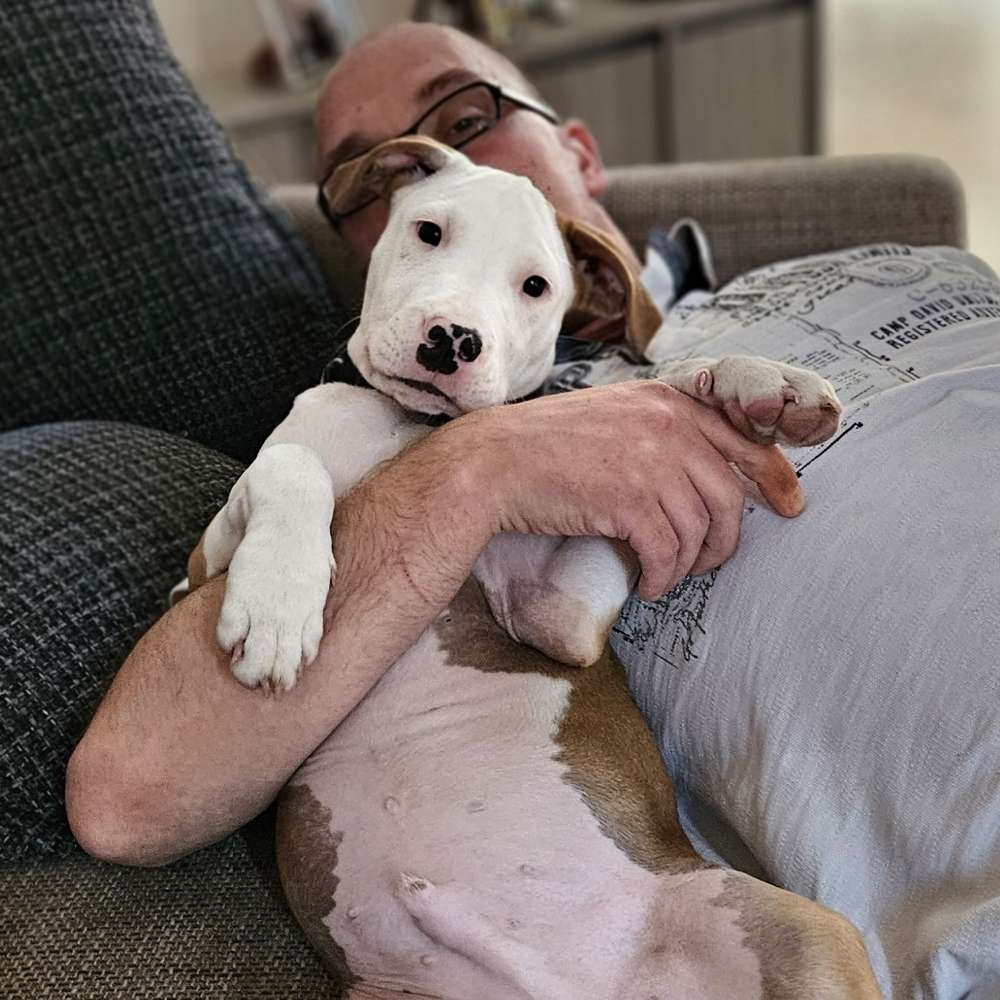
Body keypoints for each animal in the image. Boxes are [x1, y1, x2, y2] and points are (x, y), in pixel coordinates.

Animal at [182, 137, 876, 996]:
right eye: (429, 231)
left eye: (535, 285)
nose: (451, 339)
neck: (411, 427)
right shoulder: (201, 566)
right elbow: (291, 466)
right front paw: (278, 607)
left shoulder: (558, 618)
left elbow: (653, 388)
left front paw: (751, 384)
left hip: (799, 925)